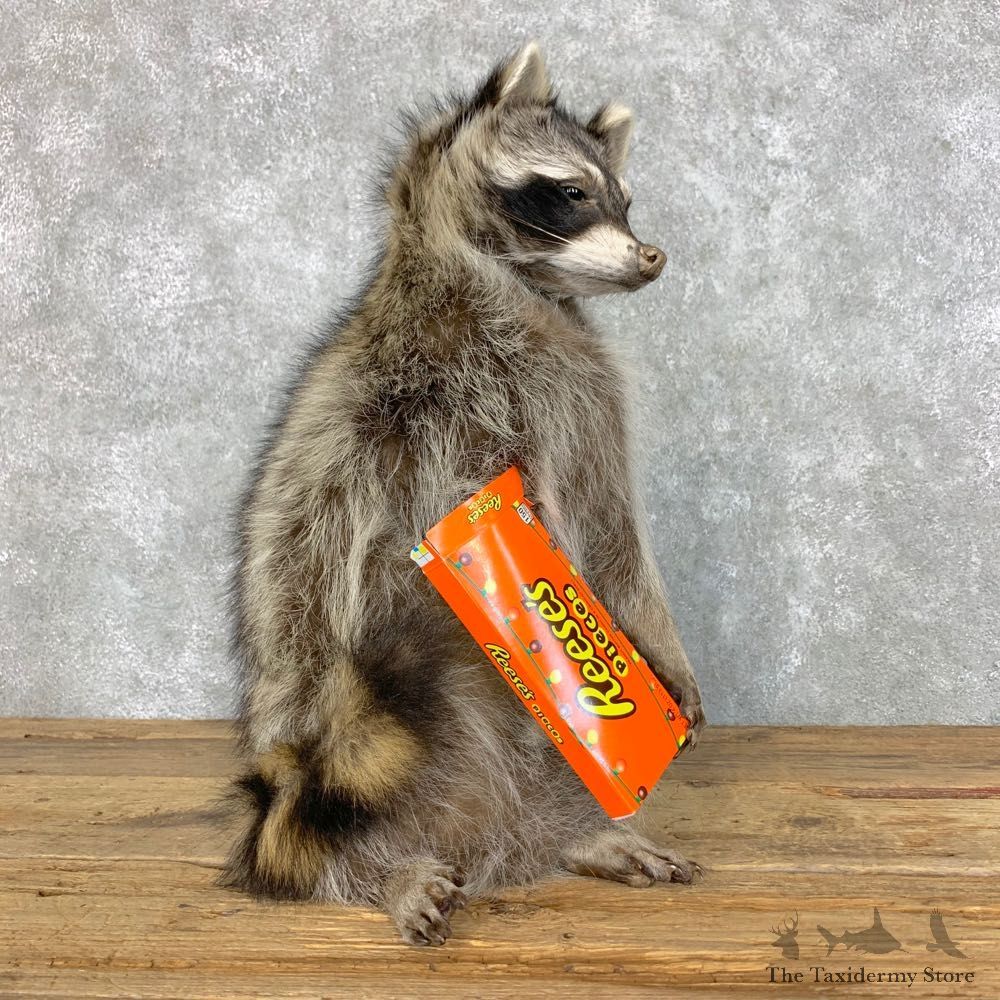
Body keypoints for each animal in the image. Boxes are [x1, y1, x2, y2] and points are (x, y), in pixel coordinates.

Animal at [221, 41, 706, 946]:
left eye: (626, 201)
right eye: (572, 192)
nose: (651, 255)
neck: (521, 289)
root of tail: (481, 838)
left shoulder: (586, 404)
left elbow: (615, 532)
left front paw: (658, 654)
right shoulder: (429, 401)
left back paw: (575, 831)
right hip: (324, 727)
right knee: (323, 788)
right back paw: (377, 871)